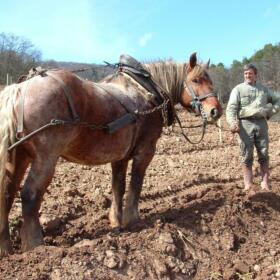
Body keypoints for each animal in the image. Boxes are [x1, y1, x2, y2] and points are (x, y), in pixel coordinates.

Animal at [0, 52, 222, 256]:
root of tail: (20, 89)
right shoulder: (145, 151)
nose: (215, 111)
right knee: (30, 194)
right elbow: (136, 184)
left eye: (210, 80)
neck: (146, 92)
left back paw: (5, 247)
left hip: (20, 156)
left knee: (7, 192)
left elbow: (118, 187)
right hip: (46, 157)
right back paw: (35, 247)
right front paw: (133, 220)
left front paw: (117, 221)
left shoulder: (120, 156)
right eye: (196, 80)